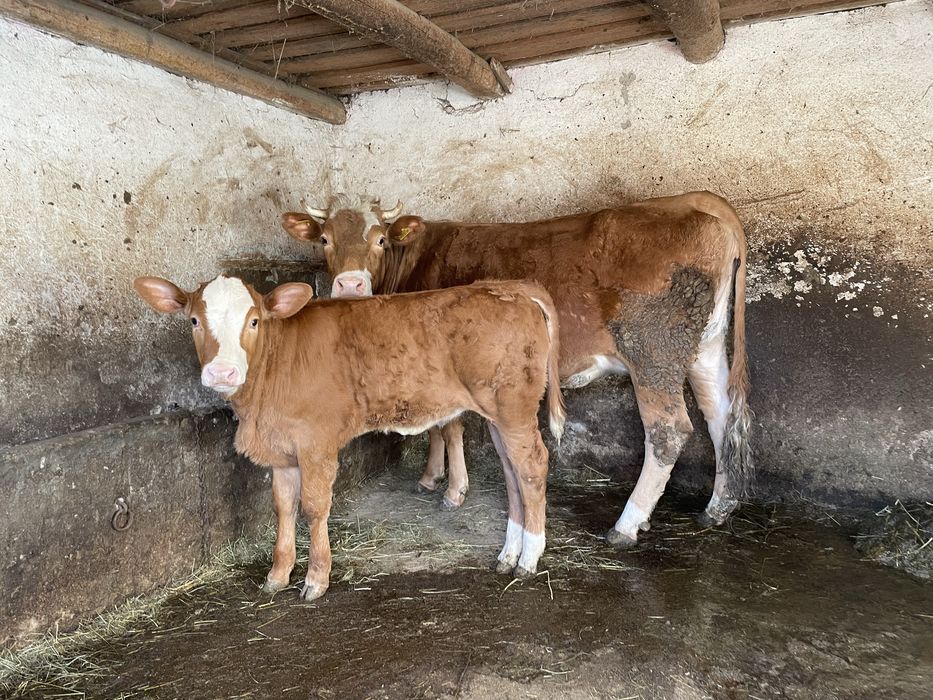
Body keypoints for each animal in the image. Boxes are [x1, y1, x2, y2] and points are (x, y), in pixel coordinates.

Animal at [134, 274, 565, 600]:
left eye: (254, 321)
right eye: (193, 320)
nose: (222, 372)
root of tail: (511, 287)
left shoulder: (316, 442)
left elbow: (314, 507)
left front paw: (315, 579)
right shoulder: (282, 449)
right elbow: (283, 507)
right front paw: (278, 574)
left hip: (513, 408)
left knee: (532, 466)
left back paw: (529, 558)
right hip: (499, 414)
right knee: (511, 472)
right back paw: (508, 553)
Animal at [281, 191, 753, 548]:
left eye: (379, 239)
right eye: (324, 239)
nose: (350, 286)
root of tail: (692, 202)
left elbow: (448, 426)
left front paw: (451, 489)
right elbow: (438, 426)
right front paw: (433, 477)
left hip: (652, 350)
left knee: (669, 431)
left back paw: (627, 524)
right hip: (704, 348)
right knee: (720, 417)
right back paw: (718, 507)